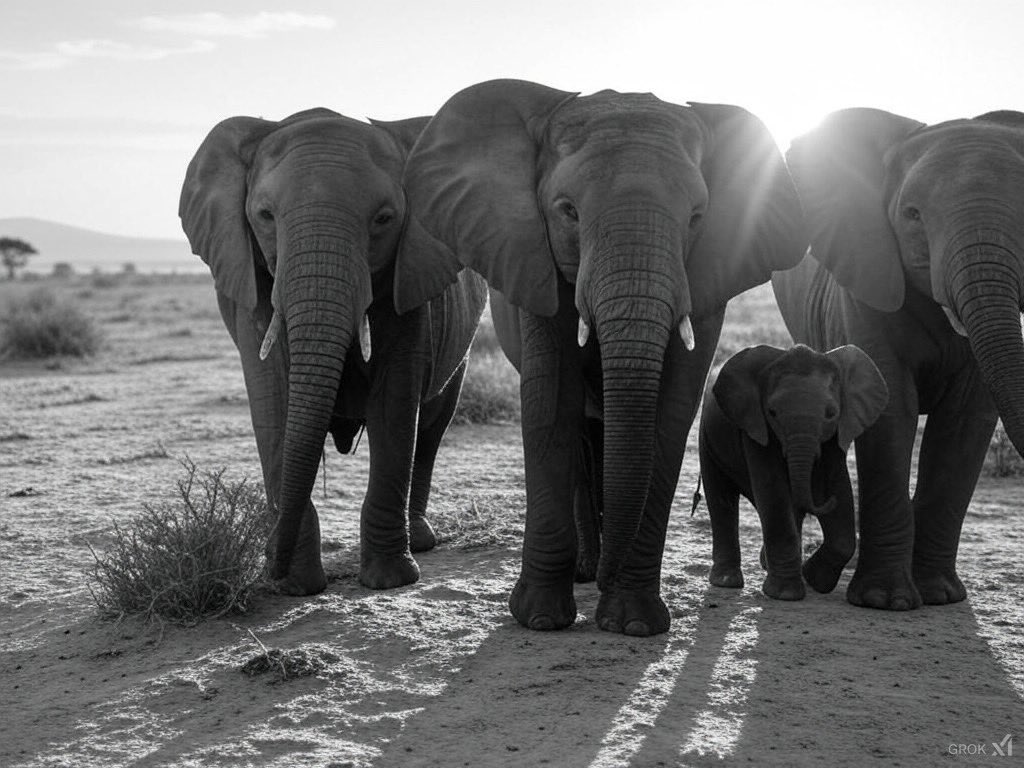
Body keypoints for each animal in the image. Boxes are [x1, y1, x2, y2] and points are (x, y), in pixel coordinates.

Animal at [179, 107, 487, 595]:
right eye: (264, 215)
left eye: (384, 218)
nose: (271, 569)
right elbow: (273, 402)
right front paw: (295, 586)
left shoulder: (410, 282)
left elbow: (395, 406)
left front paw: (389, 581)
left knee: (433, 426)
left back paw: (420, 542)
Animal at [391, 79, 807, 635]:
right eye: (568, 211)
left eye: (697, 218)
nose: (611, 578)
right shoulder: (532, 258)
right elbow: (551, 401)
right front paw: (541, 620)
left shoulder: (709, 273)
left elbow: (672, 412)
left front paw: (633, 623)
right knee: (586, 438)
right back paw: (587, 571)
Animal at [699, 343, 888, 599]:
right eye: (772, 412)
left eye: (831, 413)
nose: (826, 501)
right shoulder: (756, 427)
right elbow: (774, 491)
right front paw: (785, 594)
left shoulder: (836, 436)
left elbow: (837, 485)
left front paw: (813, 580)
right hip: (707, 438)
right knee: (721, 499)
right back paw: (726, 581)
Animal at [772, 107, 1024, 610]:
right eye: (911, 216)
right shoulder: (864, 275)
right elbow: (892, 411)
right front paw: (885, 601)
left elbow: (966, 420)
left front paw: (940, 596)